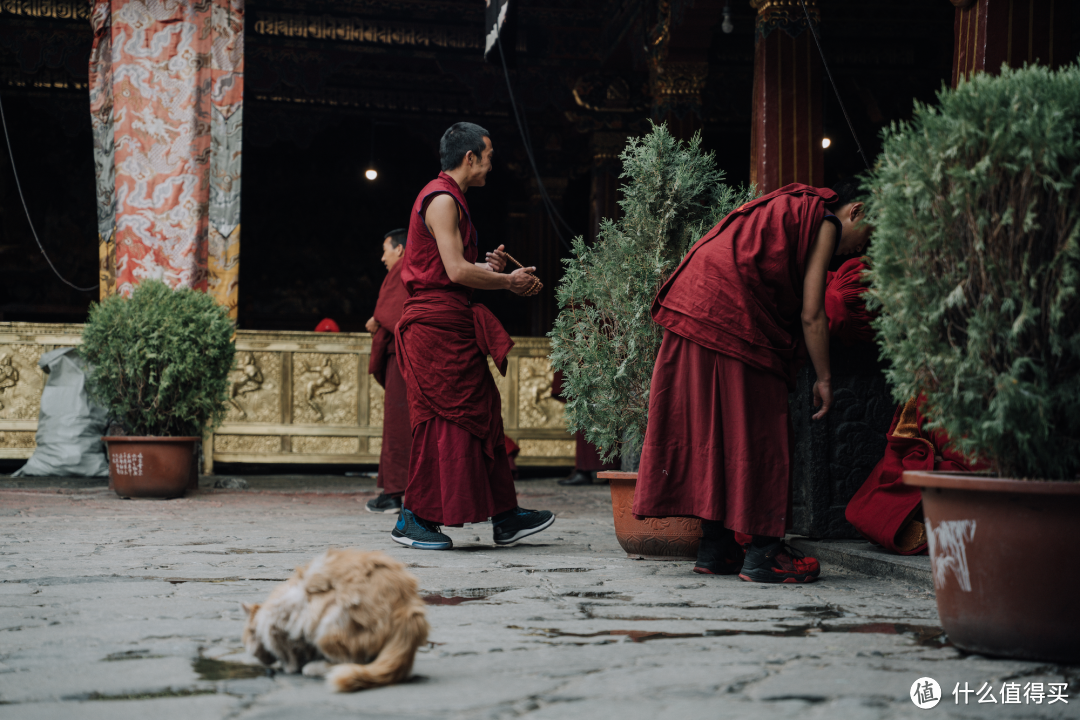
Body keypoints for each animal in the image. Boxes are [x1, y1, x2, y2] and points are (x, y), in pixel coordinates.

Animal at [243, 546, 427, 690]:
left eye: (248, 639)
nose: (259, 659)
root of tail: (408, 607)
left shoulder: (284, 619)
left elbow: (286, 649)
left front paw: (289, 666)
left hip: (330, 625)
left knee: (352, 661)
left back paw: (315, 668)